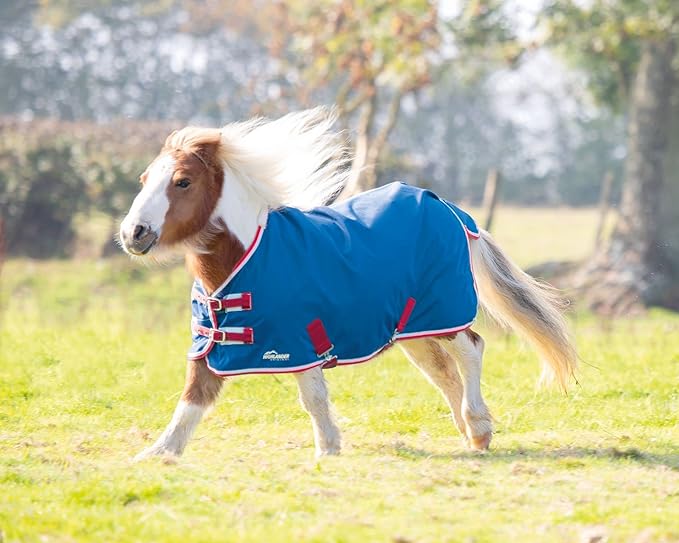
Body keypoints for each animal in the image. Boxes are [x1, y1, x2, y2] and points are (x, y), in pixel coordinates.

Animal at [119, 107, 577, 460]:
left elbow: (312, 397)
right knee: (443, 371)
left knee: (471, 350)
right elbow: (191, 399)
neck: (245, 259)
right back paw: (466, 433)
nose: (133, 233)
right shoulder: (212, 343)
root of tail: (450, 209)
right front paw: (157, 454)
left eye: (183, 181)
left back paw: (479, 429)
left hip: (443, 311)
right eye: (144, 179)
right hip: (413, 327)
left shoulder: (296, 343)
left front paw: (327, 450)